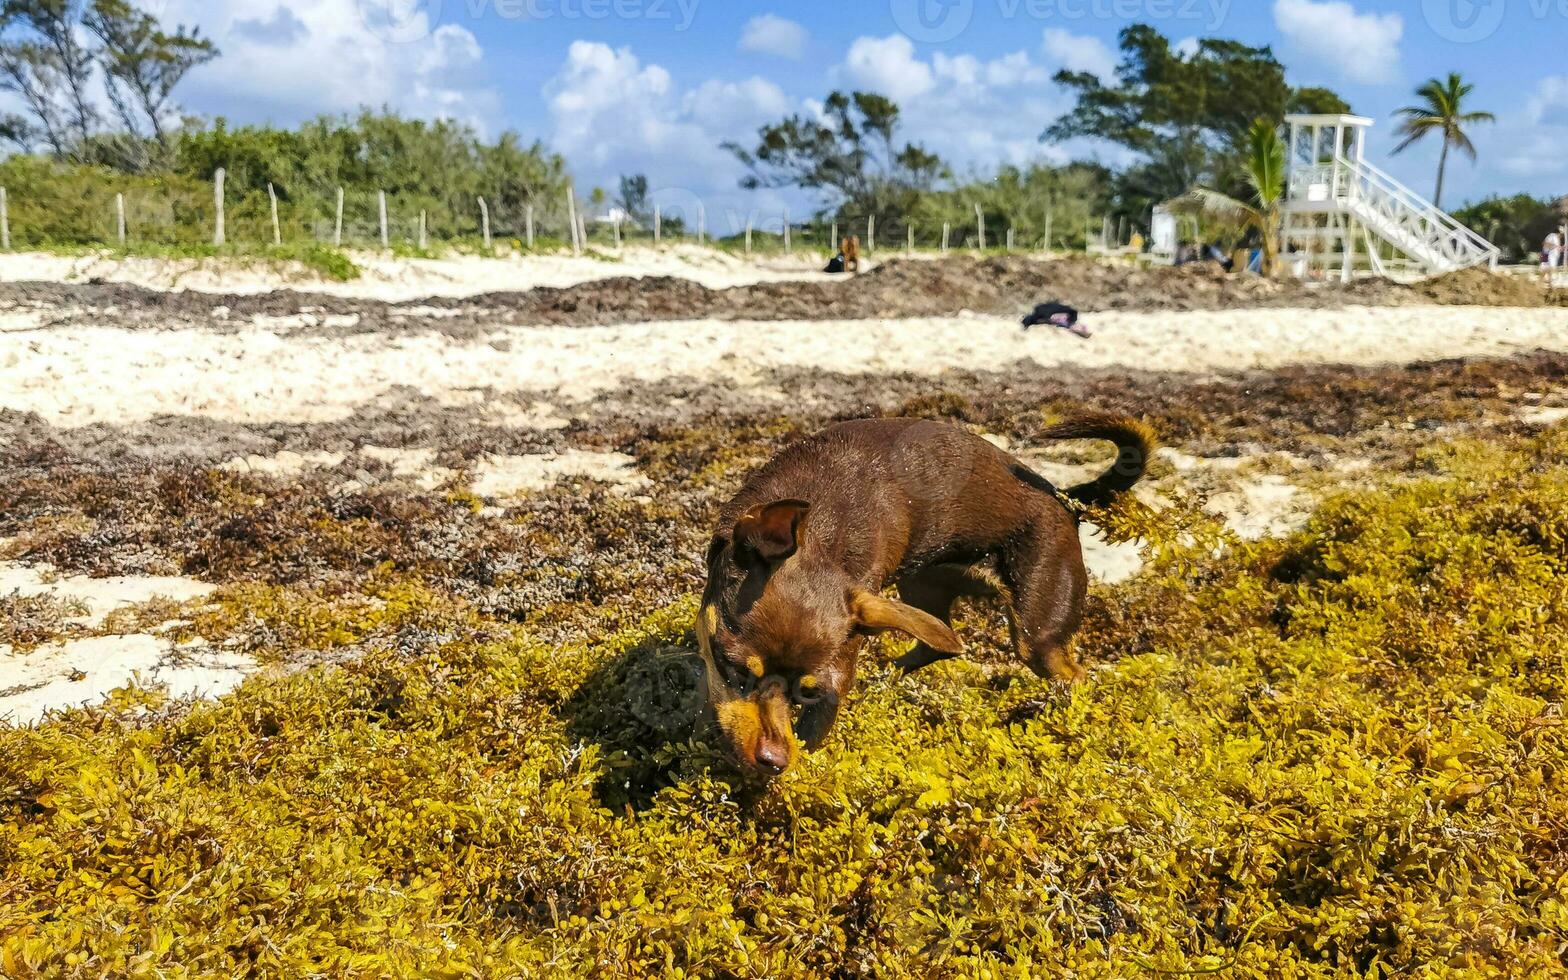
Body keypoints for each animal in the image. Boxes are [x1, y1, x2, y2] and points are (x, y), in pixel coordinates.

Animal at [699, 410, 1154, 771]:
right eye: (735, 671)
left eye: (806, 693)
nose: (774, 761)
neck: (820, 530)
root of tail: (1064, 499)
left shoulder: (837, 670)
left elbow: (814, 728)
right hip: (919, 586)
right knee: (939, 644)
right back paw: (887, 677)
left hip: (1037, 631)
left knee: (1072, 674)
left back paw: (1063, 713)